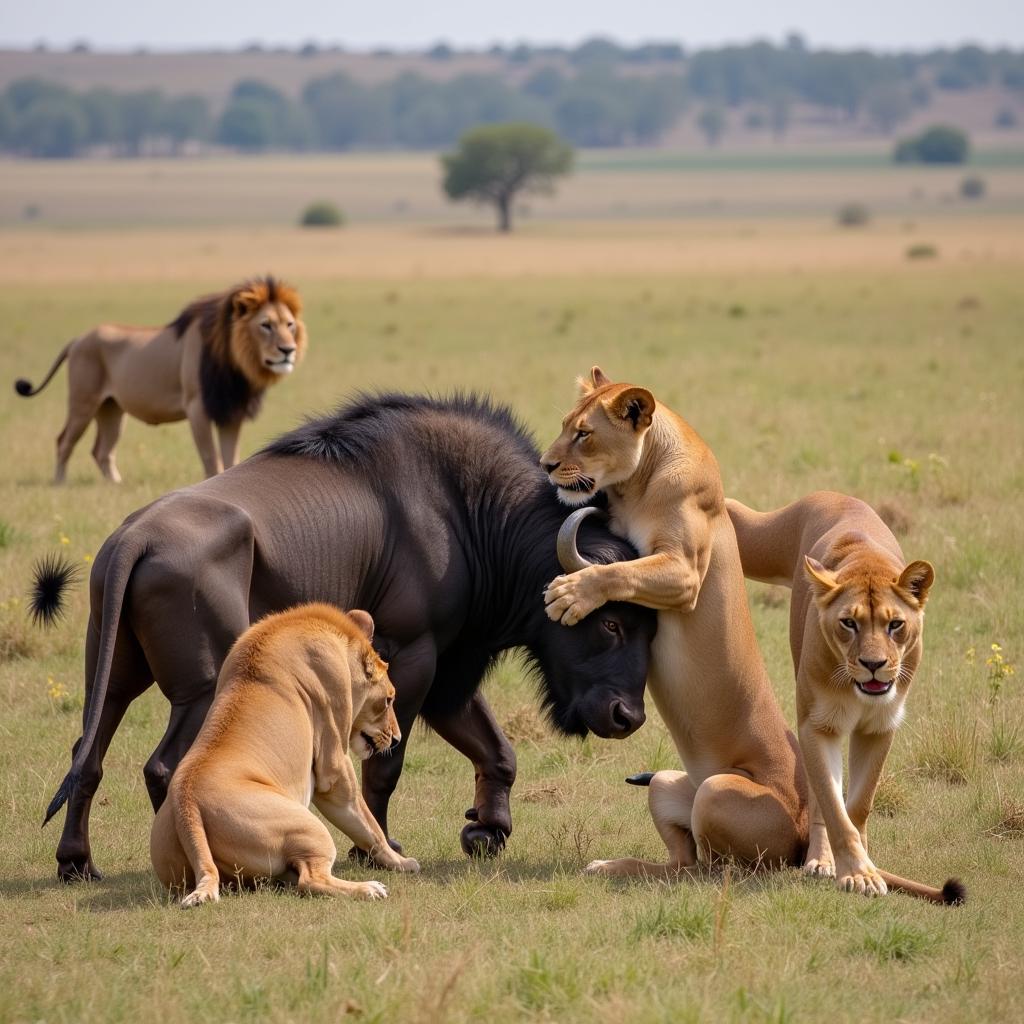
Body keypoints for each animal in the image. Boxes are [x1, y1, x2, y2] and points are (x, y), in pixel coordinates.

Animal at [14, 272, 305, 479]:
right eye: (266, 325)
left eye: (289, 324)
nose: (288, 350)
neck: (234, 361)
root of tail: (77, 339)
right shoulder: (197, 407)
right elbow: (212, 459)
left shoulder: (230, 411)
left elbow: (231, 458)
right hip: (83, 403)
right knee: (64, 442)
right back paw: (59, 483)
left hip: (112, 409)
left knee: (102, 451)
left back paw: (115, 485)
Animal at [44, 391, 655, 880]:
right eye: (611, 622)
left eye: (652, 629)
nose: (628, 717)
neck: (467, 509)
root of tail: (135, 538)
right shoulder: (413, 657)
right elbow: (384, 766)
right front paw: (377, 850)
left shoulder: (450, 672)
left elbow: (498, 751)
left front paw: (487, 829)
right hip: (198, 692)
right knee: (165, 768)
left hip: (114, 683)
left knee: (85, 757)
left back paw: (77, 863)